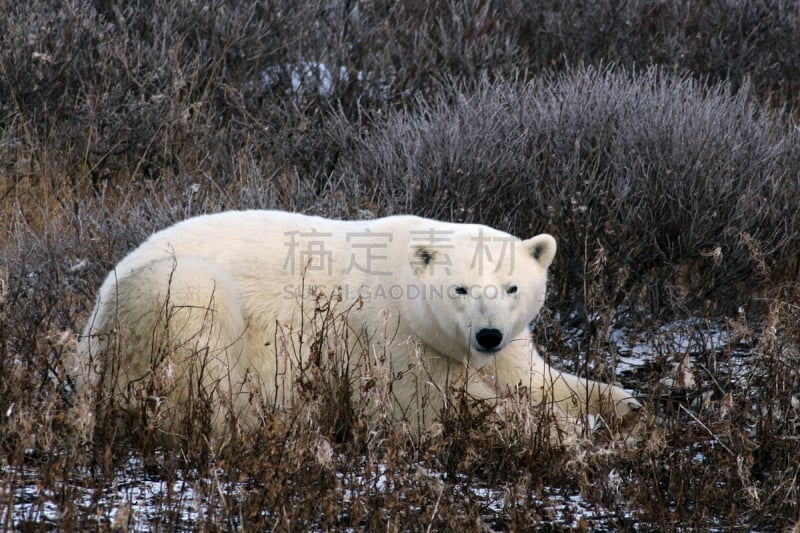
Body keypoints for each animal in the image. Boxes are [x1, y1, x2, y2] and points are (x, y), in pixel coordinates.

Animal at [75, 210, 636, 442]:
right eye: (461, 289)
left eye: (512, 287)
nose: (488, 335)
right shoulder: (389, 333)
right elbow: (435, 400)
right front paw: (562, 431)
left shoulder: (508, 344)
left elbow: (535, 378)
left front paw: (625, 406)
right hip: (153, 303)